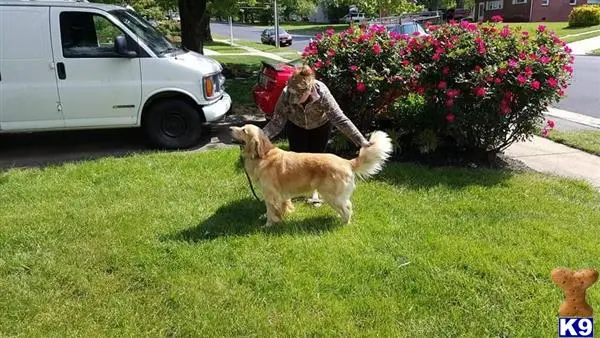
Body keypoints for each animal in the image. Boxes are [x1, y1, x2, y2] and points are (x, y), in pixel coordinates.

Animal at [230, 124, 394, 227]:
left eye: (243, 130)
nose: (230, 128)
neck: (263, 155)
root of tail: (347, 162)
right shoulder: (280, 195)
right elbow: (279, 208)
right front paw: (279, 217)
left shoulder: (271, 194)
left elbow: (271, 210)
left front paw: (268, 224)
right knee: (345, 206)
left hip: (331, 195)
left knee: (348, 207)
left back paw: (345, 223)